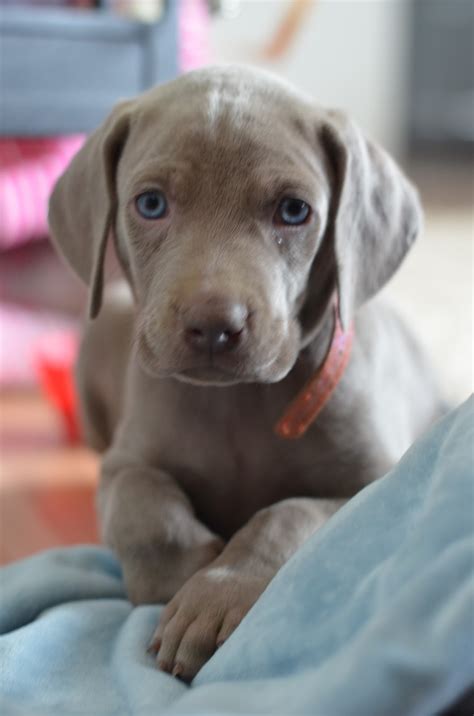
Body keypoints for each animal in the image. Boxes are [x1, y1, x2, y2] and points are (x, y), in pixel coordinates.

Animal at [48, 65, 440, 684]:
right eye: (151, 203)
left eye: (294, 211)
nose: (214, 325)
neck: (237, 402)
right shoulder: (122, 463)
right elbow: (143, 506)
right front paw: (177, 575)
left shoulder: (374, 483)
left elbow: (287, 514)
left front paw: (215, 597)